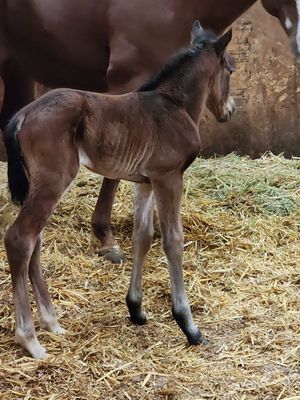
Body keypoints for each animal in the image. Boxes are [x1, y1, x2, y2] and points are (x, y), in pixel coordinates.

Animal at [3, 22, 236, 360]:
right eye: (230, 70)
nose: (229, 111)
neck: (174, 106)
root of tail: (22, 115)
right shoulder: (169, 177)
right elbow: (172, 241)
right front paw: (189, 326)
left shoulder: (146, 181)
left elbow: (143, 235)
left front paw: (136, 310)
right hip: (54, 180)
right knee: (20, 239)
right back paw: (30, 339)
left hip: (38, 183)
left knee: (35, 241)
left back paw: (51, 323)